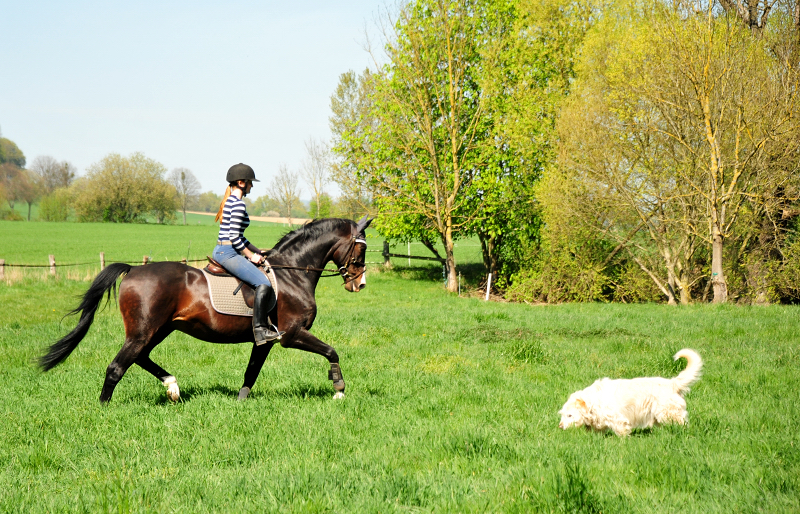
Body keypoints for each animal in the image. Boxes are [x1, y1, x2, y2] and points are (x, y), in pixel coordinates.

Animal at [39, 214, 372, 402]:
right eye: (361, 247)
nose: (359, 284)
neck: (292, 273)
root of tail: (133, 270)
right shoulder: (291, 334)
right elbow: (332, 351)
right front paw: (339, 389)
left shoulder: (265, 341)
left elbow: (252, 371)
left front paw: (241, 401)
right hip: (144, 330)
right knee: (118, 366)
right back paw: (105, 406)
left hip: (159, 329)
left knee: (140, 358)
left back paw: (172, 388)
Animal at [560, 346, 704, 434]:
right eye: (562, 414)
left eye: (570, 415)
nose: (560, 427)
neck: (593, 401)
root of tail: (673, 383)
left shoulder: (619, 420)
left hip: (670, 414)